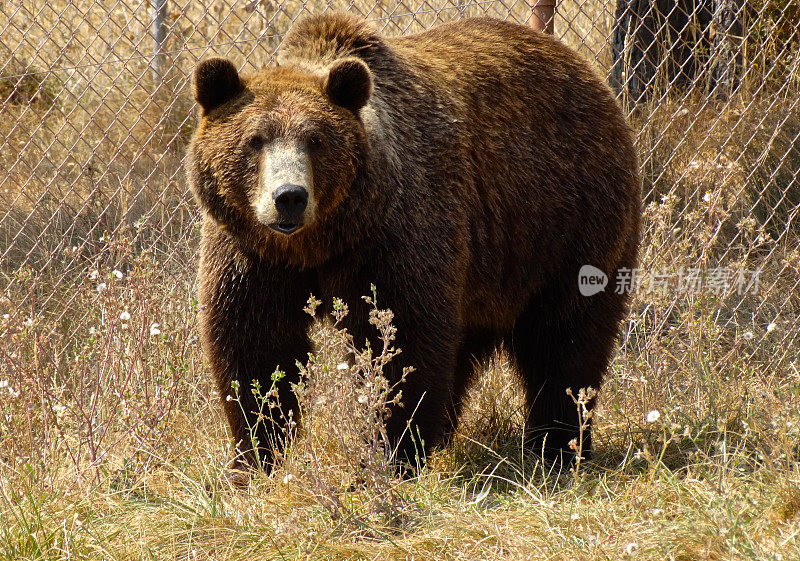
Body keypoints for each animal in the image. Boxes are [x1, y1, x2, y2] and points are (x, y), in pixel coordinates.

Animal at [186, 12, 636, 472]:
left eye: (316, 139)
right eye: (254, 140)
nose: (289, 197)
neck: (321, 243)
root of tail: (586, 71)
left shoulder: (394, 238)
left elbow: (404, 343)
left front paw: (392, 453)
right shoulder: (252, 254)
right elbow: (256, 348)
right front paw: (255, 455)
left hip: (566, 223)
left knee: (565, 339)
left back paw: (557, 445)